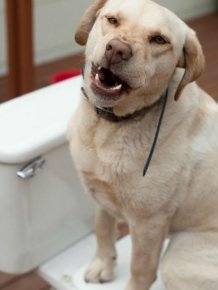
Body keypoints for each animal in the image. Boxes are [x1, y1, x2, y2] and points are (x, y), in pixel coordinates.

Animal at [69, 0, 218, 290]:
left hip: (177, 260)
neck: (109, 125)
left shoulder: (149, 223)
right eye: (112, 20)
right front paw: (103, 264)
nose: (118, 49)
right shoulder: (100, 193)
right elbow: (102, 227)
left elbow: (141, 270)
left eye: (159, 40)